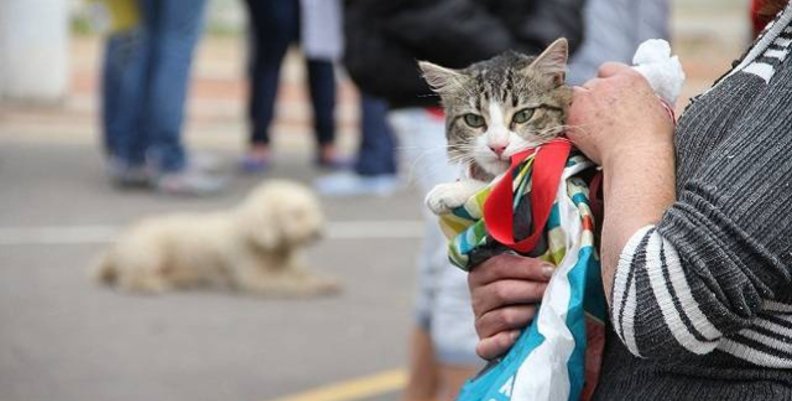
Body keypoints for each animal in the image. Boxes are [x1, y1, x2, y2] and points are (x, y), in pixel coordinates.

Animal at [93, 180, 340, 296]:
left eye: (314, 210)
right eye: (295, 213)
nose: (318, 232)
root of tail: (114, 248)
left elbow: (301, 273)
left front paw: (324, 279)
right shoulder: (252, 271)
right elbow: (281, 281)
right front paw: (313, 285)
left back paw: (184, 279)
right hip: (146, 249)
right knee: (130, 279)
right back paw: (153, 285)